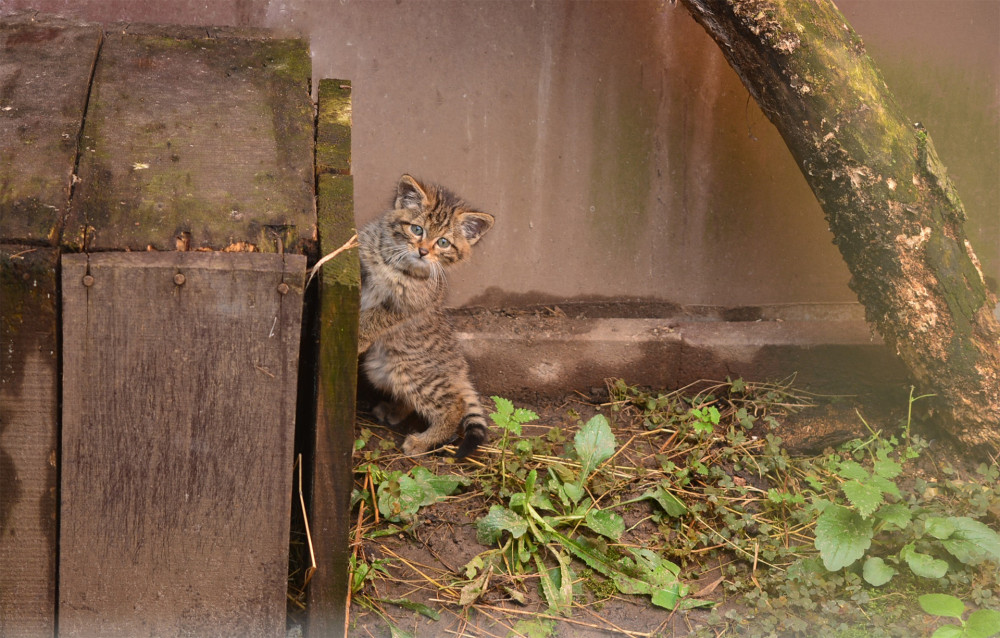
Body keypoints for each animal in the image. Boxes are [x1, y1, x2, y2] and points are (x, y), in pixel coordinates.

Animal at [360, 174, 496, 456]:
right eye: (417, 229)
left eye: (443, 242)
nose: (423, 251)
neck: (395, 262)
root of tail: (459, 369)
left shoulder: (408, 305)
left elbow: (377, 317)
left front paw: (359, 334)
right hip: (378, 369)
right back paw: (393, 411)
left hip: (412, 372)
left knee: (454, 406)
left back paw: (422, 441)